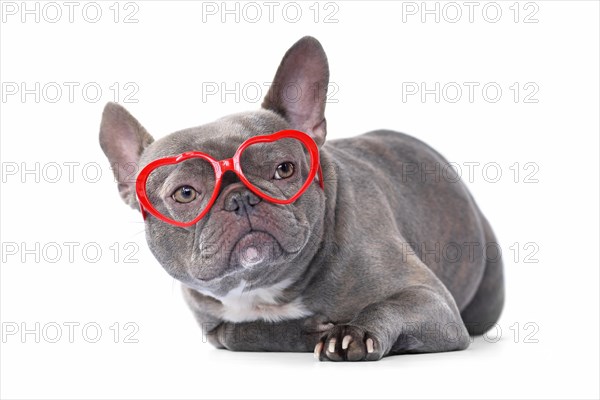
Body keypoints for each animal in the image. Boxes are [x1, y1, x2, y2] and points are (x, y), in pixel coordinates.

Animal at [98, 38, 502, 362]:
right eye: (185, 193)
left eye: (284, 169)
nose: (240, 198)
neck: (265, 287)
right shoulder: (213, 327)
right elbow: (237, 332)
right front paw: (304, 331)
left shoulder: (433, 302)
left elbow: (388, 305)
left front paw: (353, 333)